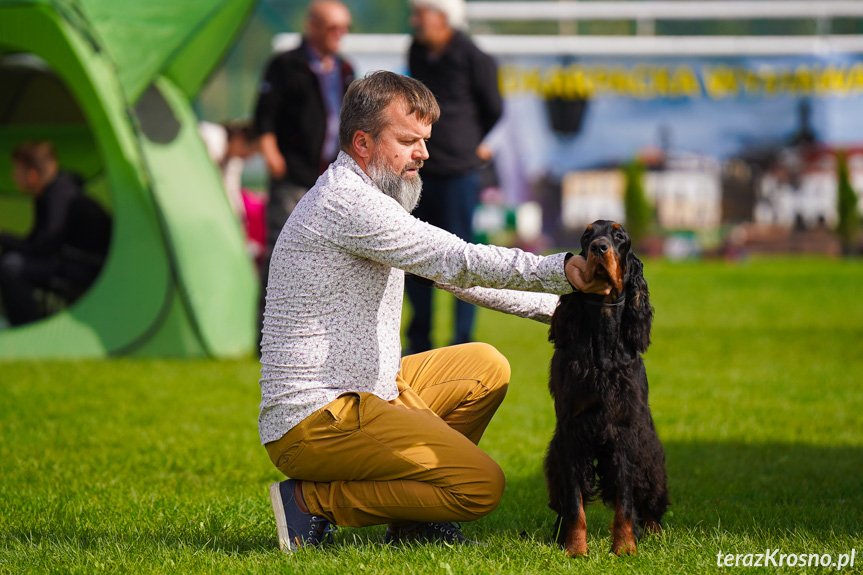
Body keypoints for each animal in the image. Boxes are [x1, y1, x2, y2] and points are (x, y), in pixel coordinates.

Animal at [548, 220, 668, 560]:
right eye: (587, 235)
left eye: (619, 236)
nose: (599, 247)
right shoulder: (572, 431)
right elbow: (574, 500)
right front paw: (575, 548)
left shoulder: (624, 431)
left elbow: (625, 500)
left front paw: (625, 546)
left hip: (650, 460)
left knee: (649, 505)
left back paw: (653, 534)